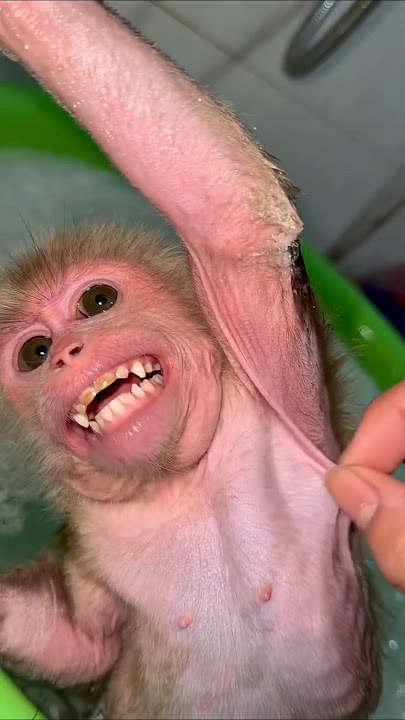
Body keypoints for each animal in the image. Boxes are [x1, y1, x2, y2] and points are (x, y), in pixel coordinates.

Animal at [0, 1, 382, 719]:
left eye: (96, 300)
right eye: (33, 353)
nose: (66, 352)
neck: (187, 479)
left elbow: (227, 210)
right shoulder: (91, 545)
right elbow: (75, 644)